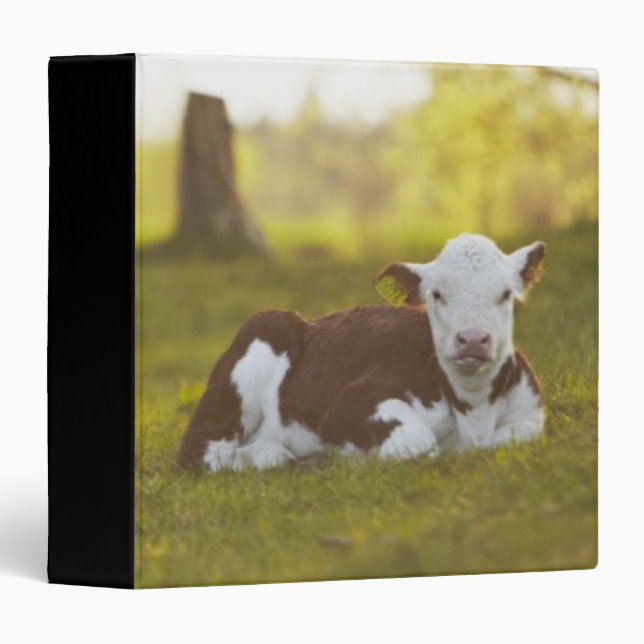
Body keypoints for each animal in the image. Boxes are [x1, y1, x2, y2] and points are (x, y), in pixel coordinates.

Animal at [177, 234, 546, 471]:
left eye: (506, 294)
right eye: (437, 294)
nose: (472, 339)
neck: (474, 411)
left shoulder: (531, 413)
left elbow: (514, 438)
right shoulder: (348, 404)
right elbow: (418, 440)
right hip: (251, 354)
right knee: (200, 451)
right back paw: (274, 456)